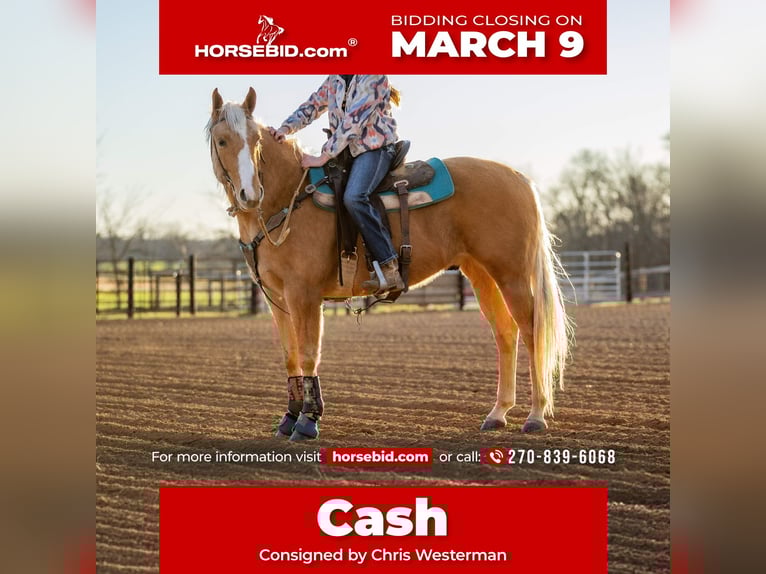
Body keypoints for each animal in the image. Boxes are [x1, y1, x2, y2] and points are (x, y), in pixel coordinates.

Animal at [206, 87, 572, 441]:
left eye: (255, 141)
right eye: (222, 140)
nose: (250, 194)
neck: (289, 200)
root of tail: (518, 178)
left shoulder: (304, 295)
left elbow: (309, 354)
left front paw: (308, 423)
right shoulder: (278, 299)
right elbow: (290, 356)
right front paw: (288, 419)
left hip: (512, 275)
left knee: (532, 331)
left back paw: (536, 415)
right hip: (481, 274)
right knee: (505, 332)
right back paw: (497, 414)